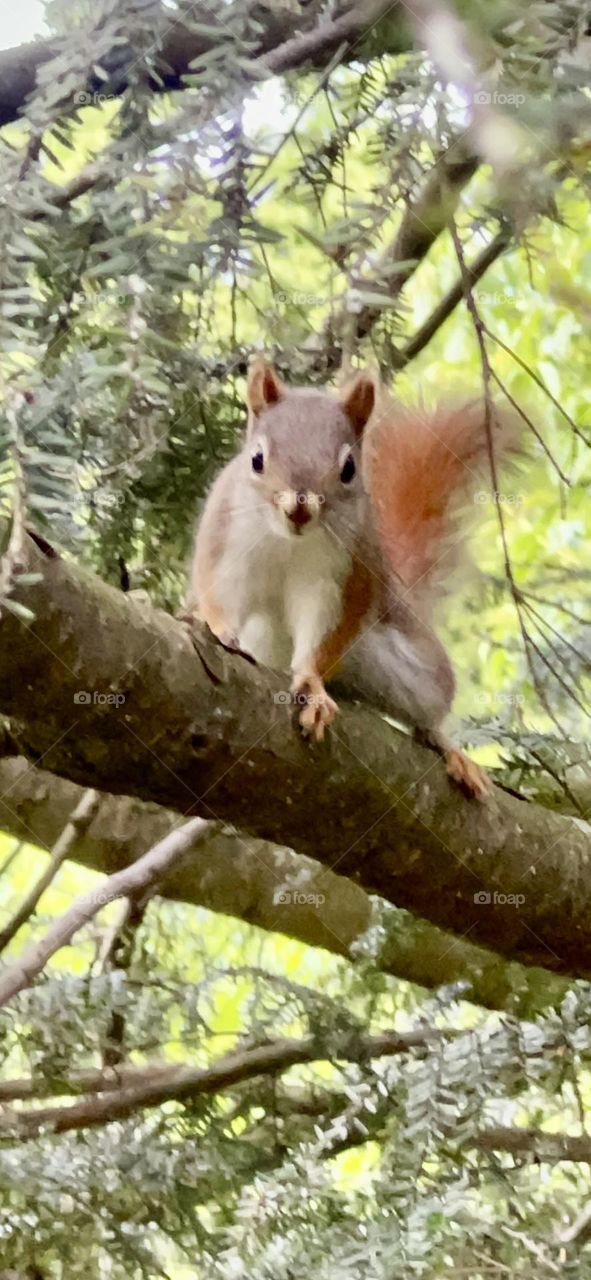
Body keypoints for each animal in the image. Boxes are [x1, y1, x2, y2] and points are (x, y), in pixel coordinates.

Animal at [188, 356, 518, 800]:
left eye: (348, 469)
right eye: (256, 459)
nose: (299, 509)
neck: (291, 540)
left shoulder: (345, 576)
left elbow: (324, 633)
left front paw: (311, 686)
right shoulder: (226, 542)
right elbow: (219, 593)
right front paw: (216, 627)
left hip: (408, 662)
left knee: (430, 708)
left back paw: (449, 750)